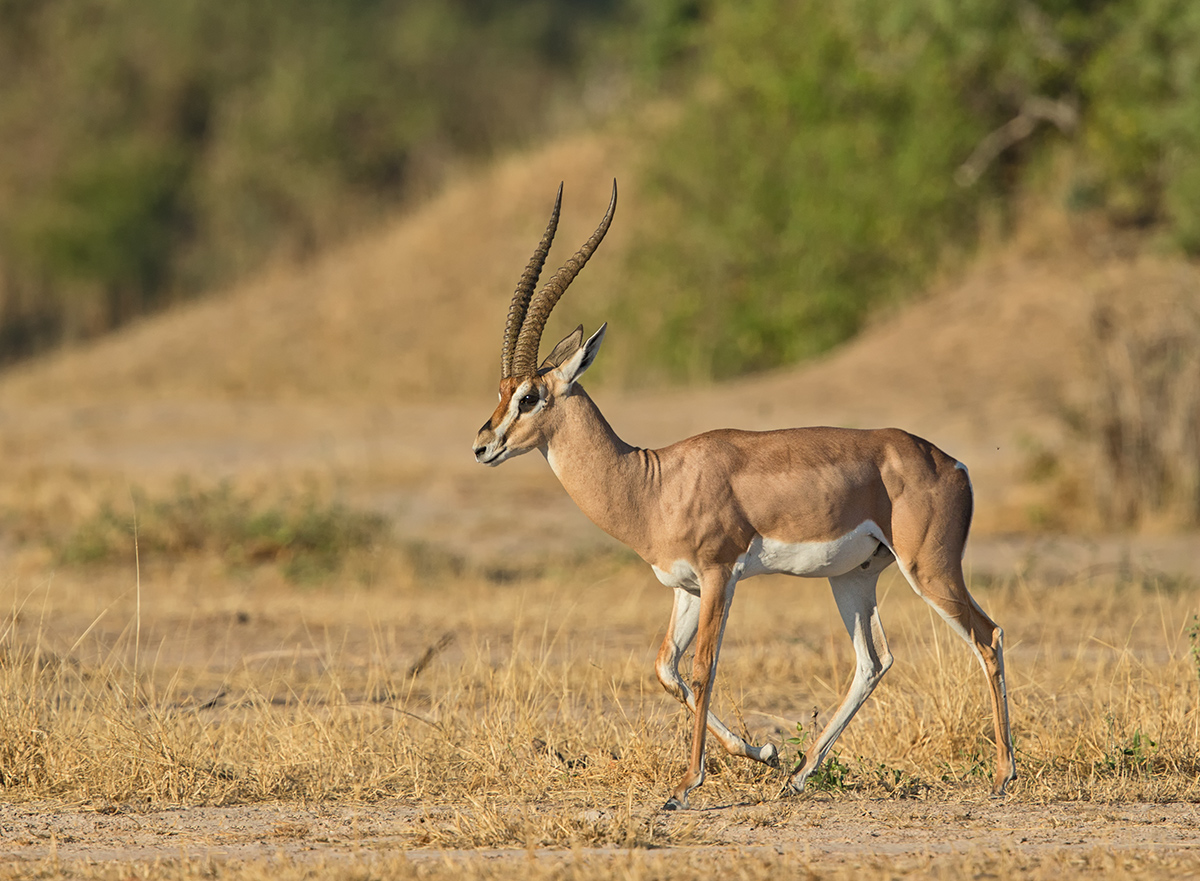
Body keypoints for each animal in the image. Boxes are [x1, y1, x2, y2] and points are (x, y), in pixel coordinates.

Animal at [472, 182, 1016, 810]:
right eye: (503, 390)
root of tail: (952, 462)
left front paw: (685, 787)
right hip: (852, 579)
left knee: (987, 635)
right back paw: (798, 776)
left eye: (530, 396)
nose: (482, 446)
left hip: (929, 569)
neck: (653, 481)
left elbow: (703, 667)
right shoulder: (683, 587)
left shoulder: (718, 576)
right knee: (873, 662)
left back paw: (1003, 776)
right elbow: (666, 669)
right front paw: (765, 752)